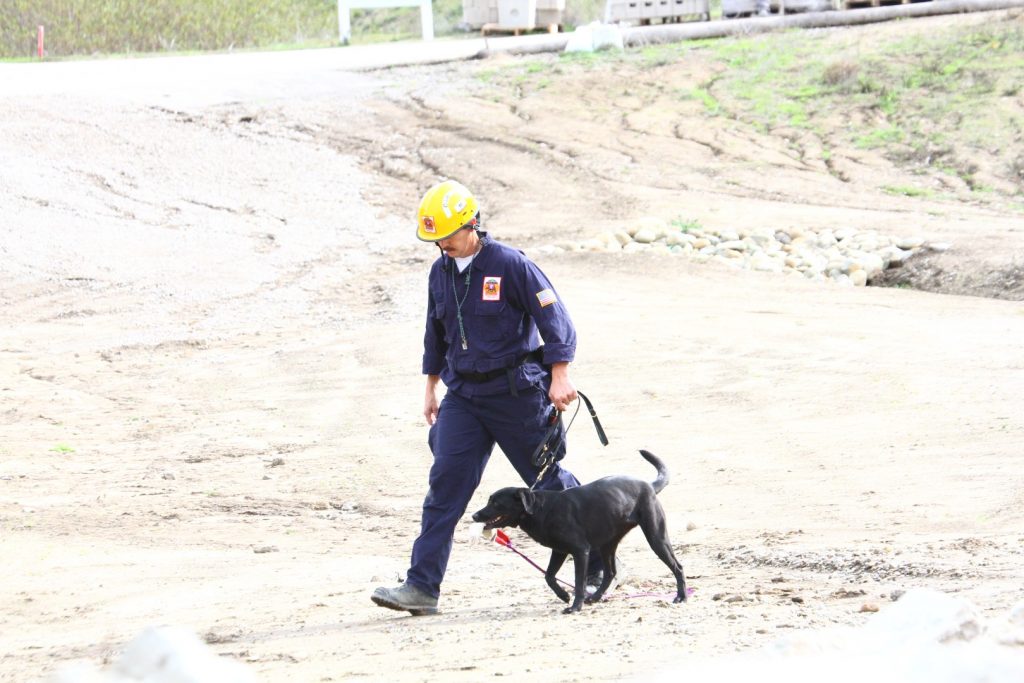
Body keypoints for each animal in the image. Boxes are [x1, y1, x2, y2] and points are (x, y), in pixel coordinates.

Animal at [471, 448, 688, 614]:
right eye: (489, 500)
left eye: (496, 503)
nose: (473, 515)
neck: (540, 509)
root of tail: (649, 485)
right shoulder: (559, 551)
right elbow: (548, 576)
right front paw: (564, 595)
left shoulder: (580, 551)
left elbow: (578, 582)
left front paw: (575, 606)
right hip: (607, 544)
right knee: (610, 572)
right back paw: (597, 597)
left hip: (656, 537)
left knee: (677, 566)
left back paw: (681, 596)